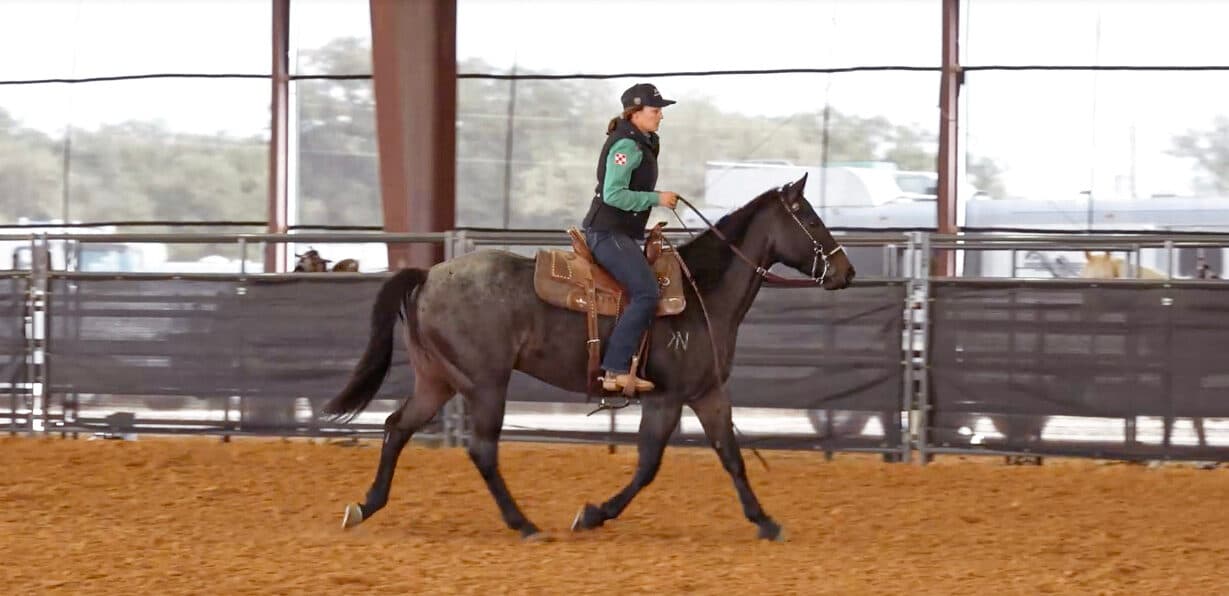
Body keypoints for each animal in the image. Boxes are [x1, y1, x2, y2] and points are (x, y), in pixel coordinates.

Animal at [321, 173, 855, 541]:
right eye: (810, 219)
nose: (845, 272)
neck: (701, 291)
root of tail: (429, 276)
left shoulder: (707, 393)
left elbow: (731, 457)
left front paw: (765, 521)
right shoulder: (667, 398)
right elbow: (649, 466)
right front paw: (593, 514)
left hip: (438, 380)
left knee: (396, 428)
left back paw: (364, 506)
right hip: (485, 383)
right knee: (482, 449)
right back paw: (524, 524)